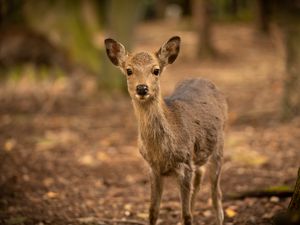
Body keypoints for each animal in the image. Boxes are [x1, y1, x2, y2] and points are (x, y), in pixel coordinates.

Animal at [104, 36, 226, 224]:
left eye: (156, 70)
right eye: (129, 70)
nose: (142, 88)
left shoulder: (185, 164)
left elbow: (186, 215)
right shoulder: (153, 168)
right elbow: (153, 211)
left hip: (219, 147)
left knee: (216, 194)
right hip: (200, 155)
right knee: (200, 179)